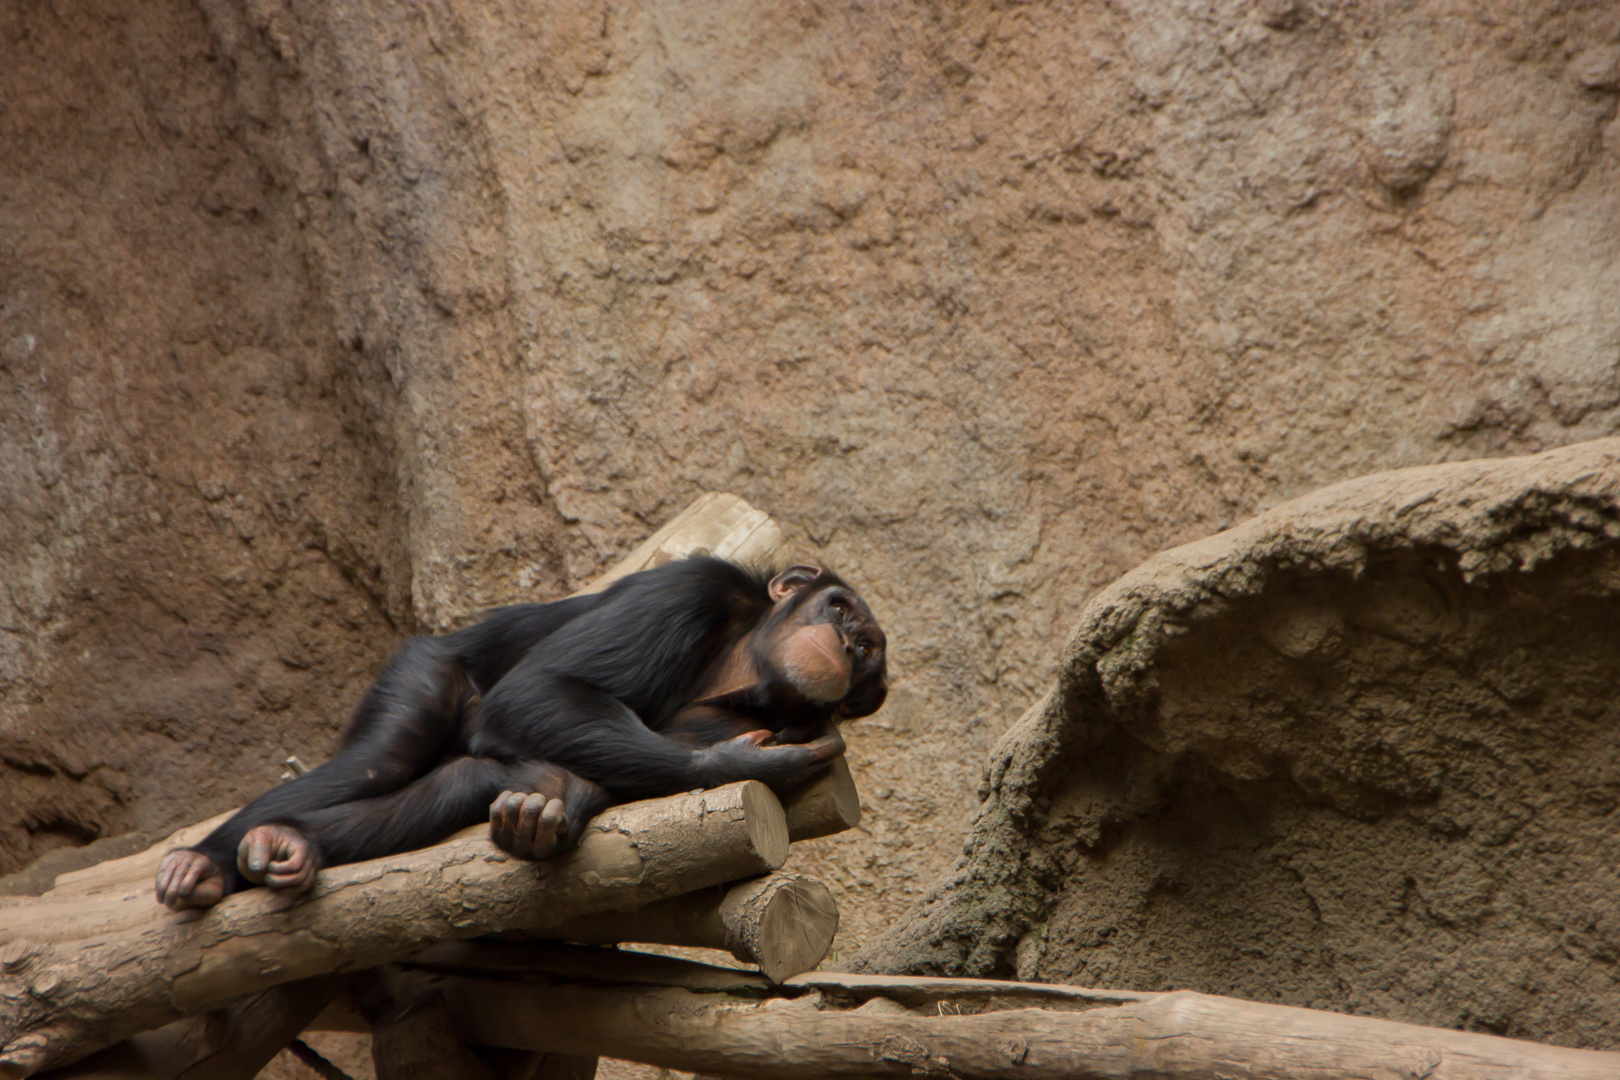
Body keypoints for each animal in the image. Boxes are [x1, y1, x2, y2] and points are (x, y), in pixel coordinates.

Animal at [153, 557, 887, 913]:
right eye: (840, 609)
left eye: (868, 652)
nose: (848, 641)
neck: (743, 658)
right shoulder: (687, 589)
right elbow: (540, 689)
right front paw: (748, 765)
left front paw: (546, 807)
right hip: (423, 666)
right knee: (379, 758)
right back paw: (211, 861)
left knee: (453, 779)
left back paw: (290, 845)